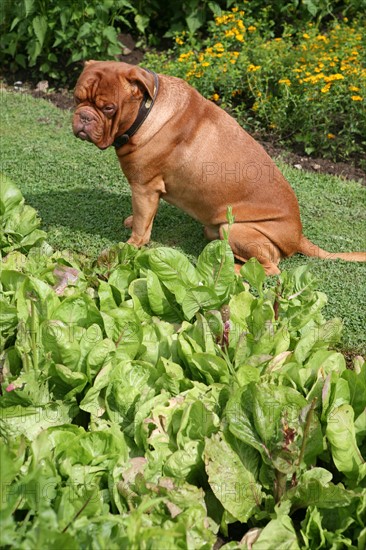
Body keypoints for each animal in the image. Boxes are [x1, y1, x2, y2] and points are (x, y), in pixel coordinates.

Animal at [72, 62, 366, 276]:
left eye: (109, 108)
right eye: (76, 98)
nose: (84, 117)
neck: (146, 111)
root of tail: (298, 236)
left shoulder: (144, 188)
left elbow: (142, 228)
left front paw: (130, 246)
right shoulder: (147, 193)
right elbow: (144, 218)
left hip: (234, 230)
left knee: (270, 268)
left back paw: (233, 269)